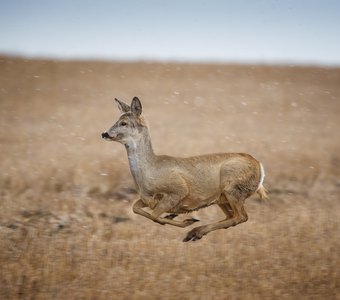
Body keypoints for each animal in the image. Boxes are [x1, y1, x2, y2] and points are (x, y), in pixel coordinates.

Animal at [102, 97, 266, 243]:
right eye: (117, 120)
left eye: (123, 123)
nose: (104, 133)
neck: (149, 171)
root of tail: (259, 166)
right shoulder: (147, 198)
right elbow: (136, 208)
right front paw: (174, 217)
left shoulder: (178, 190)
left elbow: (154, 215)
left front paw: (186, 220)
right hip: (222, 197)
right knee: (232, 217)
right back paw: (195, 233)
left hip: (233, 188)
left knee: (241, 216)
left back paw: (194, 231)